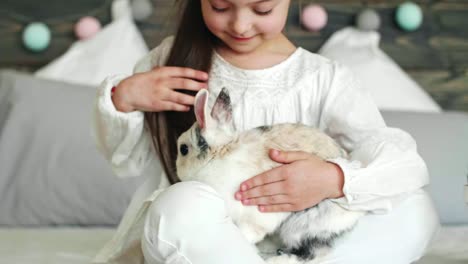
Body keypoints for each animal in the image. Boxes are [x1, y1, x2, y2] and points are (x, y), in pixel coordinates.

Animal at [176, 88, 366, 262]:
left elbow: (249, 233)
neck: (220, 154)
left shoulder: (254, 215)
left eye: (183, 149)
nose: (177, 170)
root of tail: (355, 216)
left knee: (313, 253)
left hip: (300, 225)